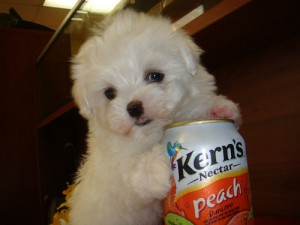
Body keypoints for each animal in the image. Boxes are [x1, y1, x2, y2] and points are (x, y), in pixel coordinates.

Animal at [67, 9, 239, 225]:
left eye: (155, 76)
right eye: (109, 93)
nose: (134, 107)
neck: (153, 133)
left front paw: (219, 108)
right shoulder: (113, 176)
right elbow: (127, 176)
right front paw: (157, 167)